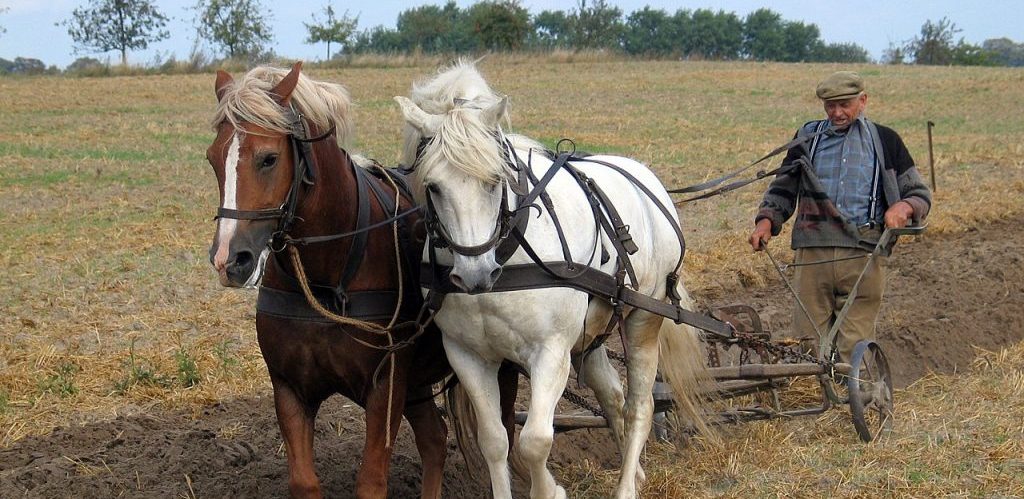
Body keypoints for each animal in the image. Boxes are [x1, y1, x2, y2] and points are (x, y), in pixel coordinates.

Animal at [205, 64, 520, 497]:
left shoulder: (385, 387)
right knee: (435, 440)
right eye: (213, 159)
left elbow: (371, 480)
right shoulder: (289, 388)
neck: (327, 278)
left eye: (268, 158)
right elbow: (304, 481)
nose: (229, 260)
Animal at [393, 62, 712, 499]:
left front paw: (550, 490)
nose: (476, 274)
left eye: (494, 180)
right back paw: (636, 473)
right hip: (592, 332)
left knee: (640, 406)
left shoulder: (550, 352)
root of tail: (647, 179)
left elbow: (534, 442)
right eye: (433, 186)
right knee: (612, 396)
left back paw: (627, 486)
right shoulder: (467, 354)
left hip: (644, 319)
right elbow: (495, 441)